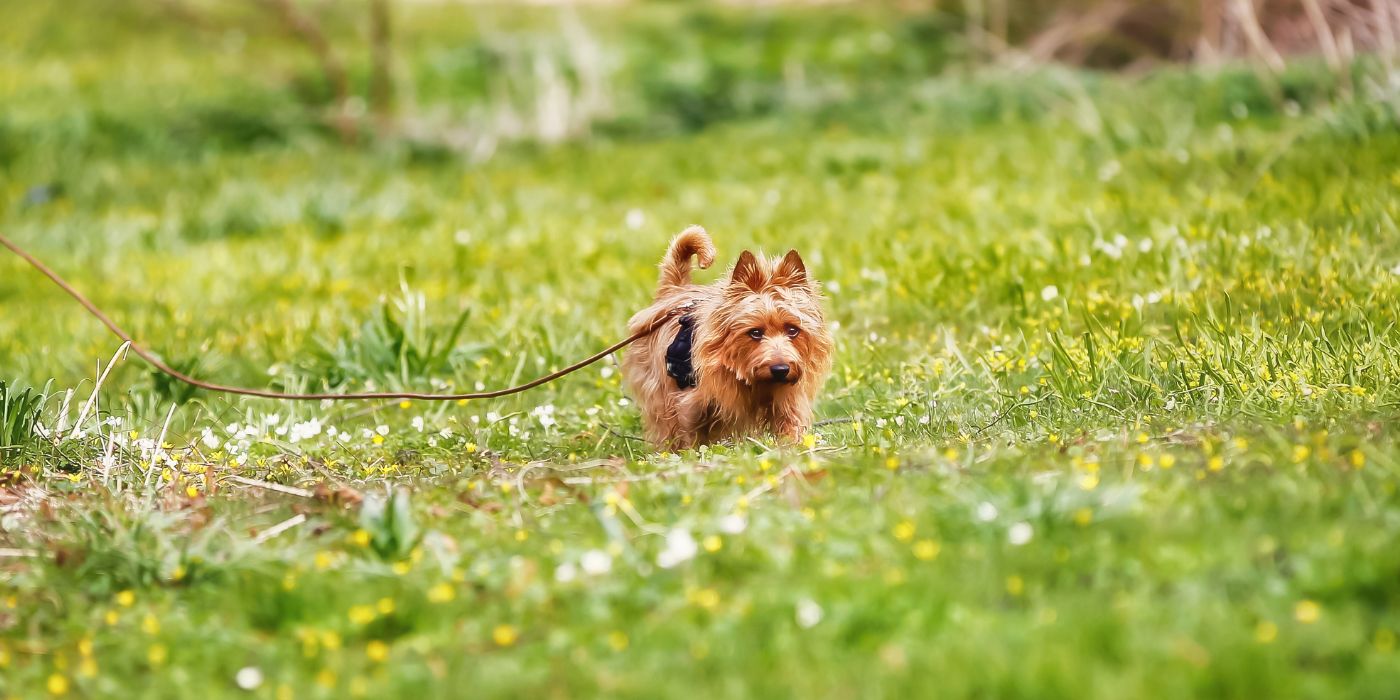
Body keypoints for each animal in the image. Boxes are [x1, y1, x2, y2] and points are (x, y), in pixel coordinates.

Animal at [624, 226, 828, 450]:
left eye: (793, 330)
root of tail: (674, 291)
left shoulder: (787, 402)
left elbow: (790, 427)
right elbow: (689, 435)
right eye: (755, 332)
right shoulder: (689, 404)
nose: (781, 369)